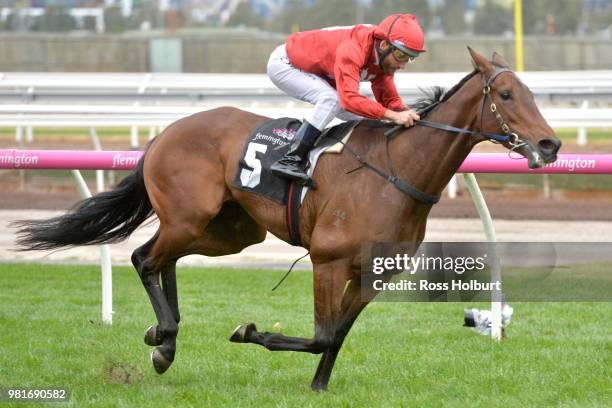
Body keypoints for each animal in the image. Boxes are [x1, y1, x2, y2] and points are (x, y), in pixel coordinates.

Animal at [14, 48, 560, 392]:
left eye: (533, 93)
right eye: (506, 96)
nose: (551, 144)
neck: (395, 172)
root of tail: (166, 132)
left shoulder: (372, 275)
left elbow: (337, 334)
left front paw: (319, 386)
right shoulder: (328, 262)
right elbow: (320, 333)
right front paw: (249, 332)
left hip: (230, 231)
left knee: (161, 258)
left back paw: (162, 338)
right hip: (191, 218)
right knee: (144, 257)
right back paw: (164, 340)